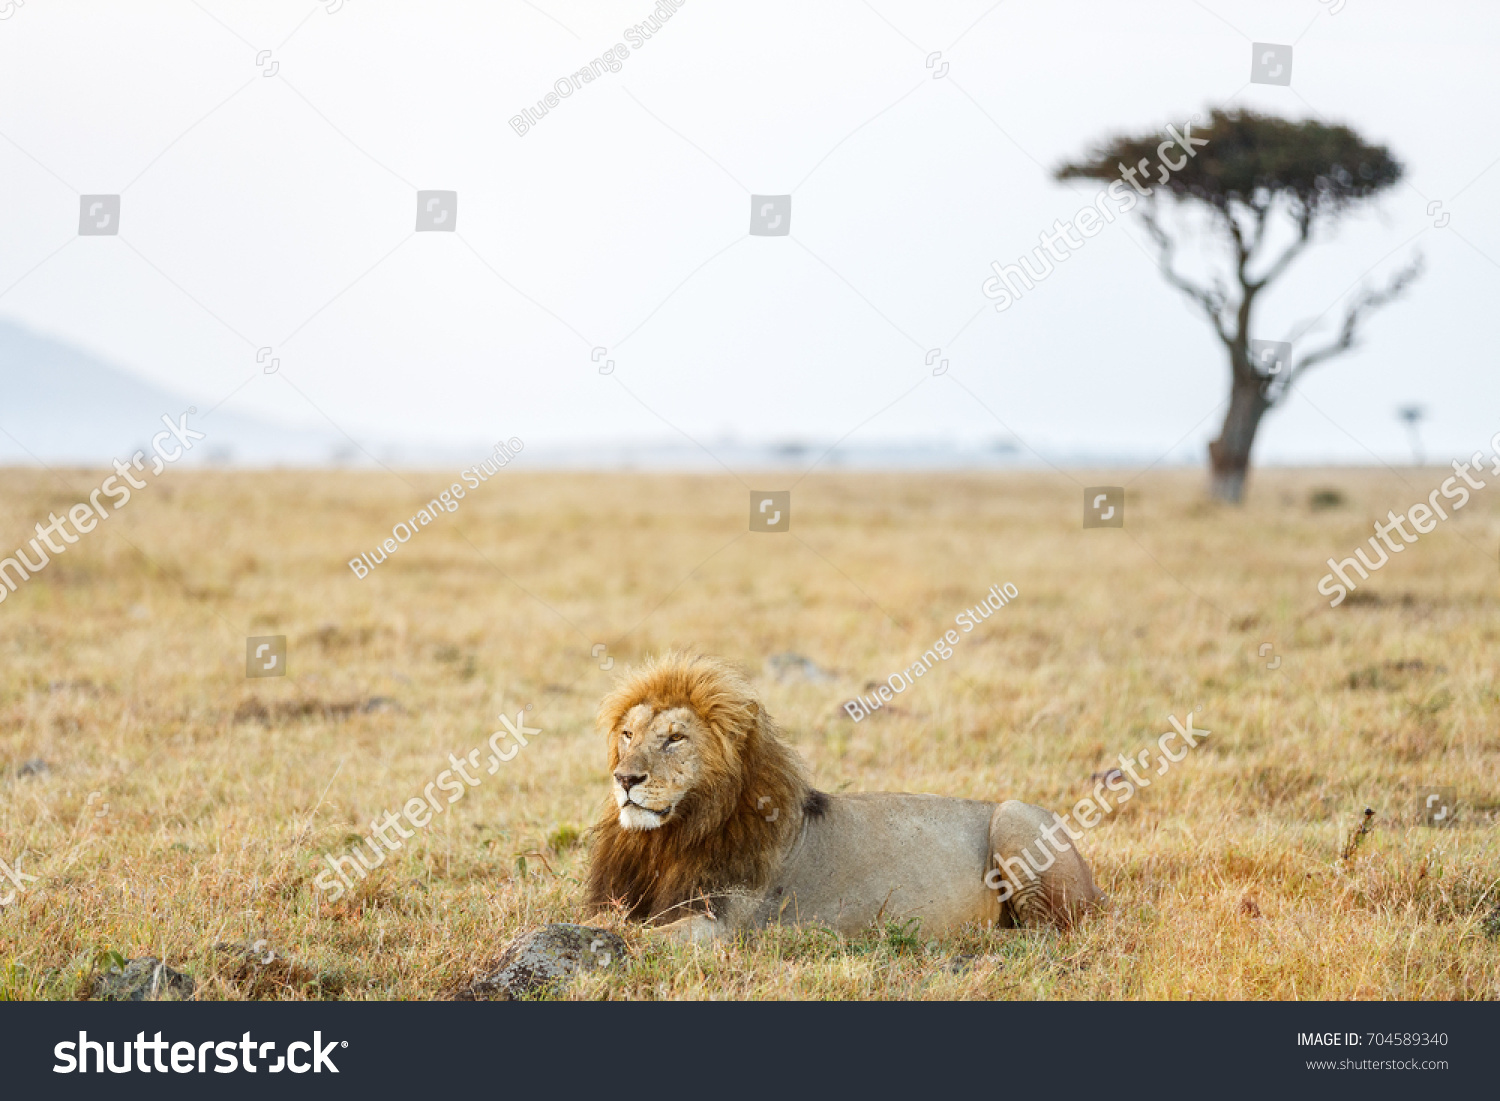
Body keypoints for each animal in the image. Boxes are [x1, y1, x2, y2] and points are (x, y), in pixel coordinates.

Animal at [585, 651, 1104, 942]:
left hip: (1016, 817)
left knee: (1045, 933)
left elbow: (633, 936)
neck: (668, 840)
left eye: (674, 739)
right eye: (628, 734)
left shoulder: (721, 923)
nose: (624, 779)